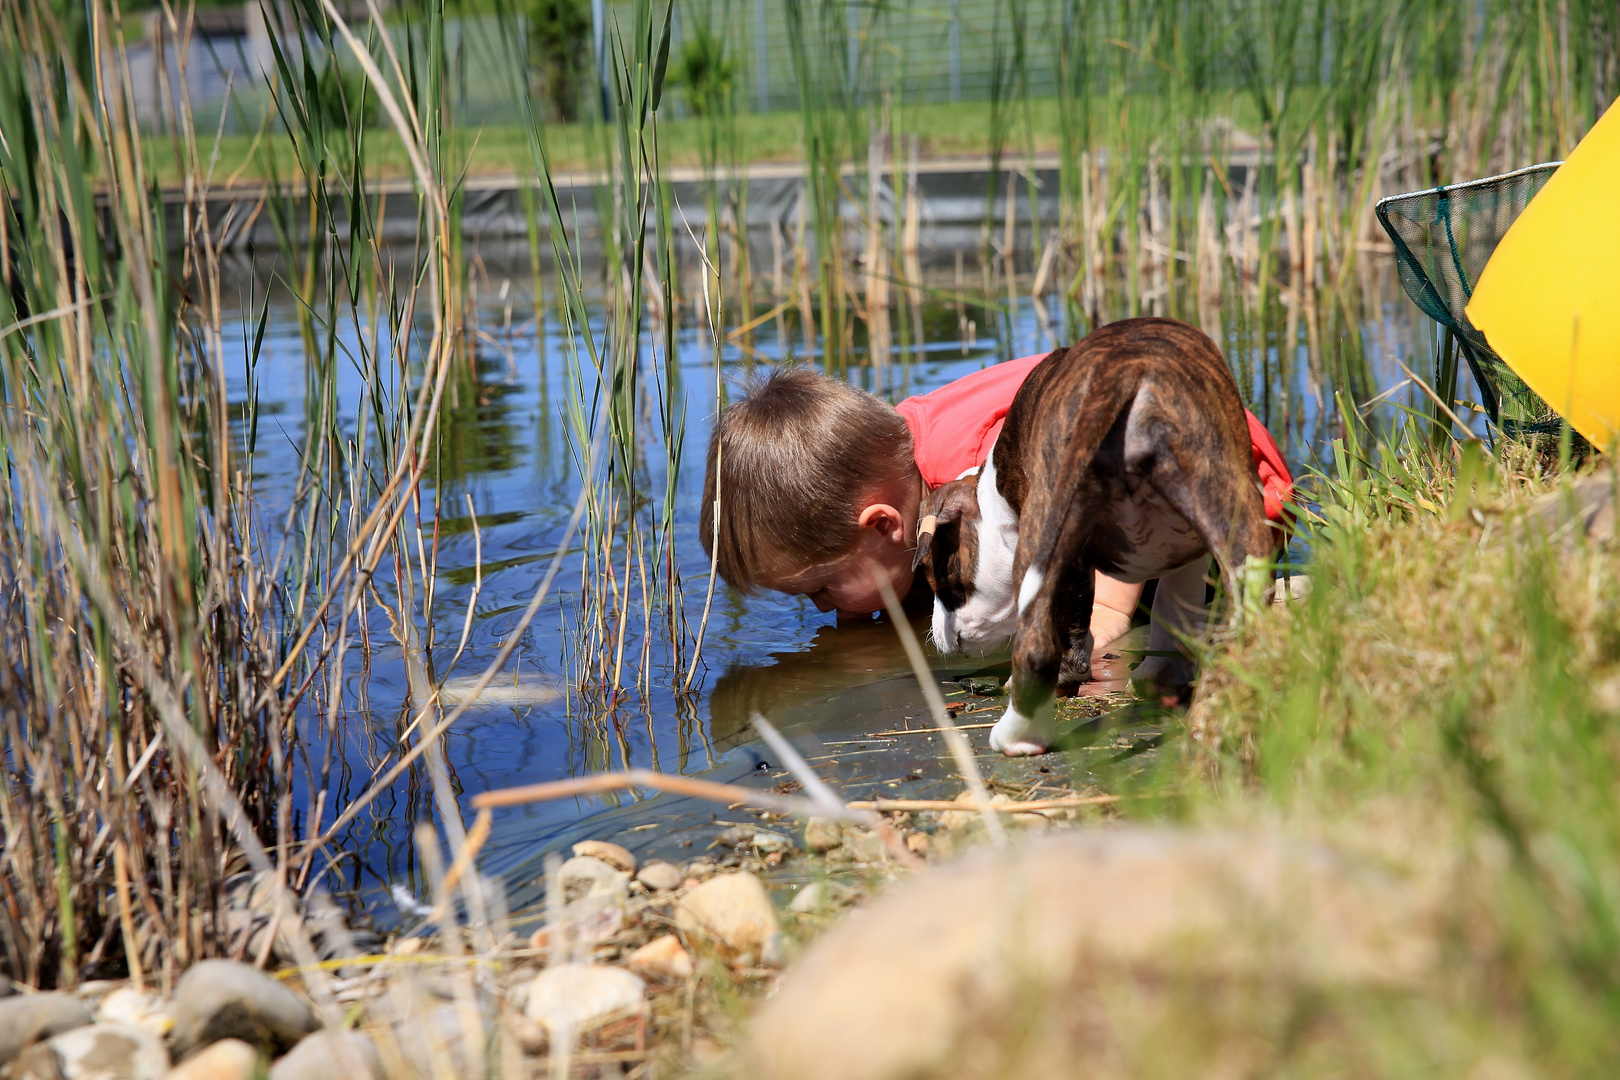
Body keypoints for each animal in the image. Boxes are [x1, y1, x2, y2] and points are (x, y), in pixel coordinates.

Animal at [913, 317, 1276, 757]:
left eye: (945, 584)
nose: (937, 633)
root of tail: (1127, 372)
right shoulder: (1189, 551)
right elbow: (1172, 606)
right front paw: (1162, 676)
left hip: (1048, 519)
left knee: (1036, 647)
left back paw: (1018, 736)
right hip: (1225, 489)